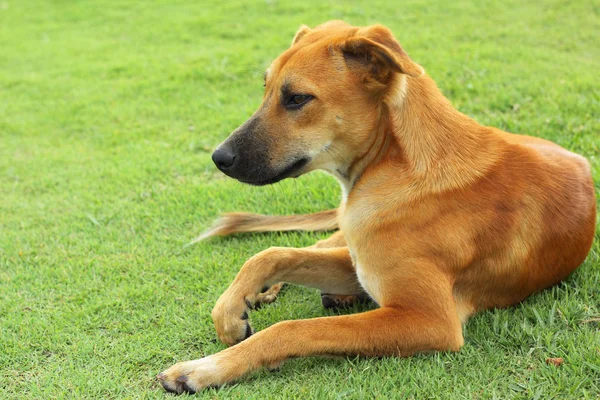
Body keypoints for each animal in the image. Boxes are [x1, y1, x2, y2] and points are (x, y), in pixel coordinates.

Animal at [156, 20, 596, 392]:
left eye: (297, 98)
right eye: (266, 90)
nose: (219, 158)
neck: (397, 165)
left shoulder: (429, 320)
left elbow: (293, 328)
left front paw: (204, 368)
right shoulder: (360, 261)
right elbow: (271, 253)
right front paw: (231, 311)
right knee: (305, 244)